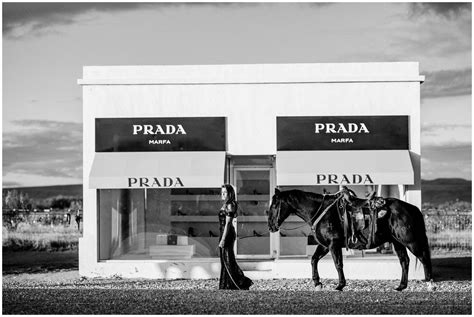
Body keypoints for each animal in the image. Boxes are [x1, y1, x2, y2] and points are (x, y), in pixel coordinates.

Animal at [268, 186, 432, 290]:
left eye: (275, 205)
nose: (270, 226)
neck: (321, 211)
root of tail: (412, 208)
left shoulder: (333, 244)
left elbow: (338, 264)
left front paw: (340, 285)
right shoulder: (324, 245)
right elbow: (314, 260)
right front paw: (317, 283)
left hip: (411, 241)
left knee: (423, 258)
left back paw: (430, 284)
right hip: (398, 243)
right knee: (405, 261)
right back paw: (401, 286)